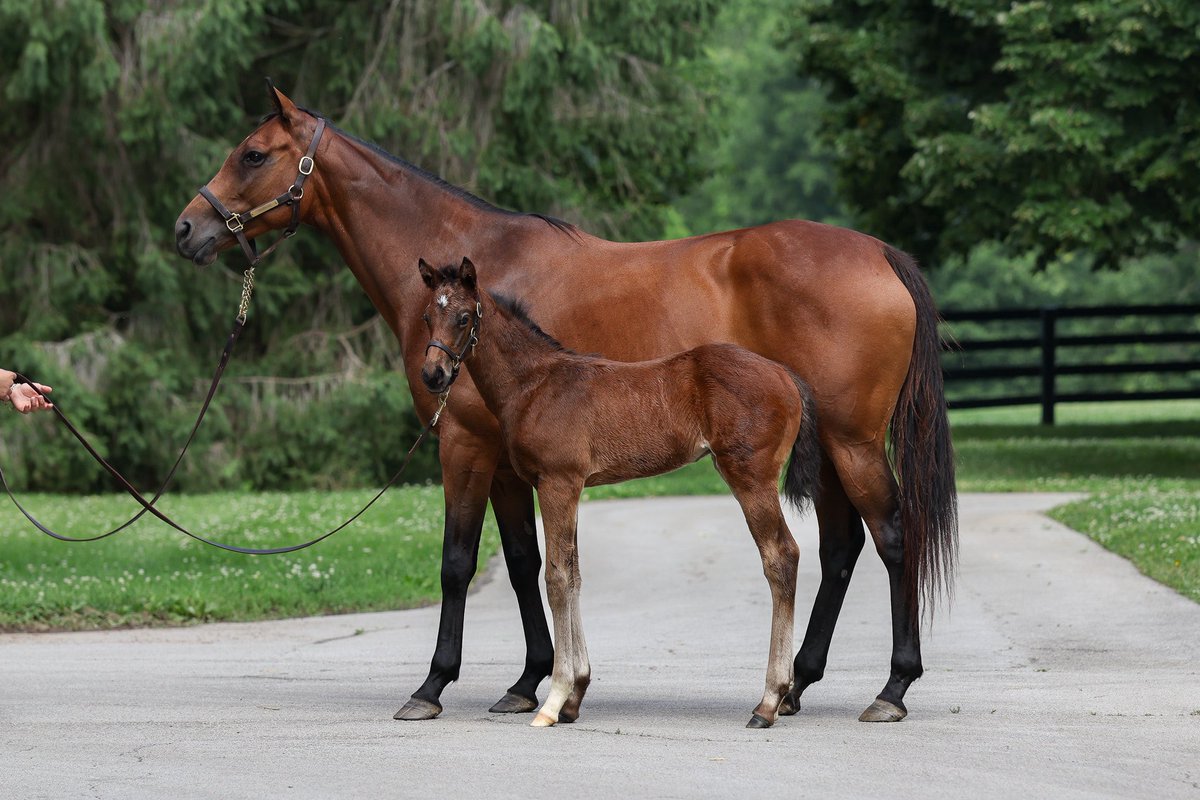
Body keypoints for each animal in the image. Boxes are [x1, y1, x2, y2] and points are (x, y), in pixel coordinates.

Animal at [417, 256, 820, 728]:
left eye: (464, 317)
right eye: (427, 317)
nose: (433, 375)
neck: (534, 385)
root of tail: (786, 375)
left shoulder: (558, 483)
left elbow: (556, 577)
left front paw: (553, 700)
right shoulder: (568, 486)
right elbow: (573, 574)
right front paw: (575, 694)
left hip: (750, 476)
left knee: (781, 557)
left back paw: (769, 701)